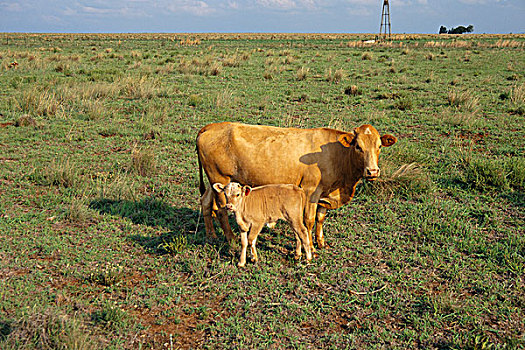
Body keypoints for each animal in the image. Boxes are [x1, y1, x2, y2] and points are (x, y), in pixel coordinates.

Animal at [198, 121, 398, 250]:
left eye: (379, 146)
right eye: (358, 146)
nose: (372, 171)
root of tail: (212, 126)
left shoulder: (324, 192)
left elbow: (320, 218)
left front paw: (320, 242)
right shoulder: (311, 191)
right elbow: (308, 220)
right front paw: (310, 248)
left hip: (215, 182)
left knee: (206, 202)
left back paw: (211, 235)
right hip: (221, 179)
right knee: (221, 210)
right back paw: (231, 240)